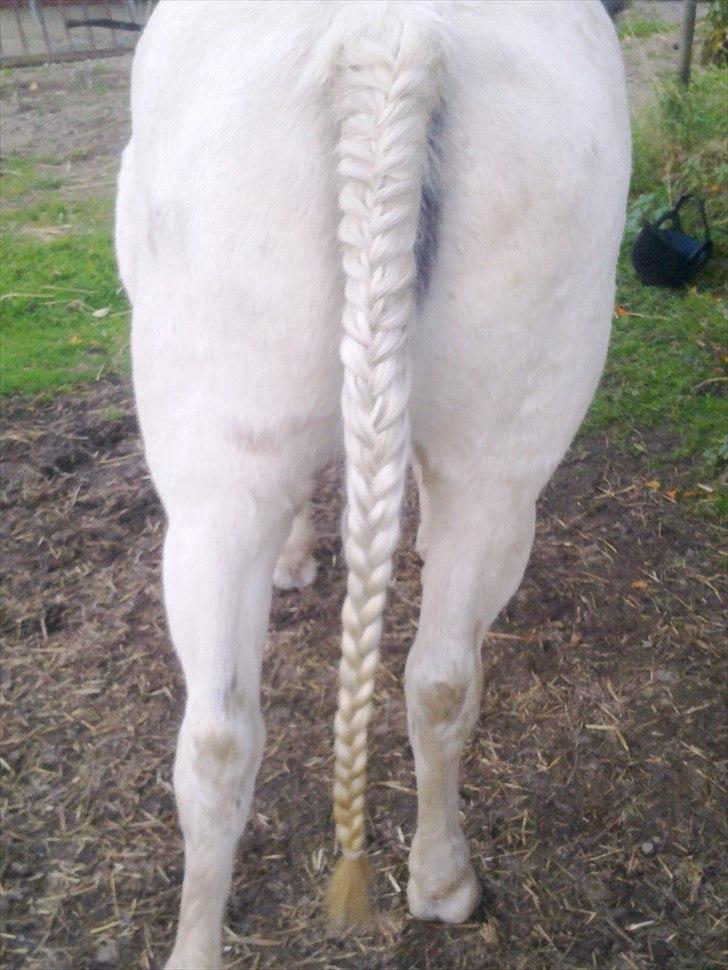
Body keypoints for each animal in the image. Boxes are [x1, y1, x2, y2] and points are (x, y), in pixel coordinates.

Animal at [116, 3, 628, 964]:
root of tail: (388, 40)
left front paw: (295, 556)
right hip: (492, 456)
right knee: (423, 685)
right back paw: (440, 882)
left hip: (218, 477)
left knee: (227, 730)